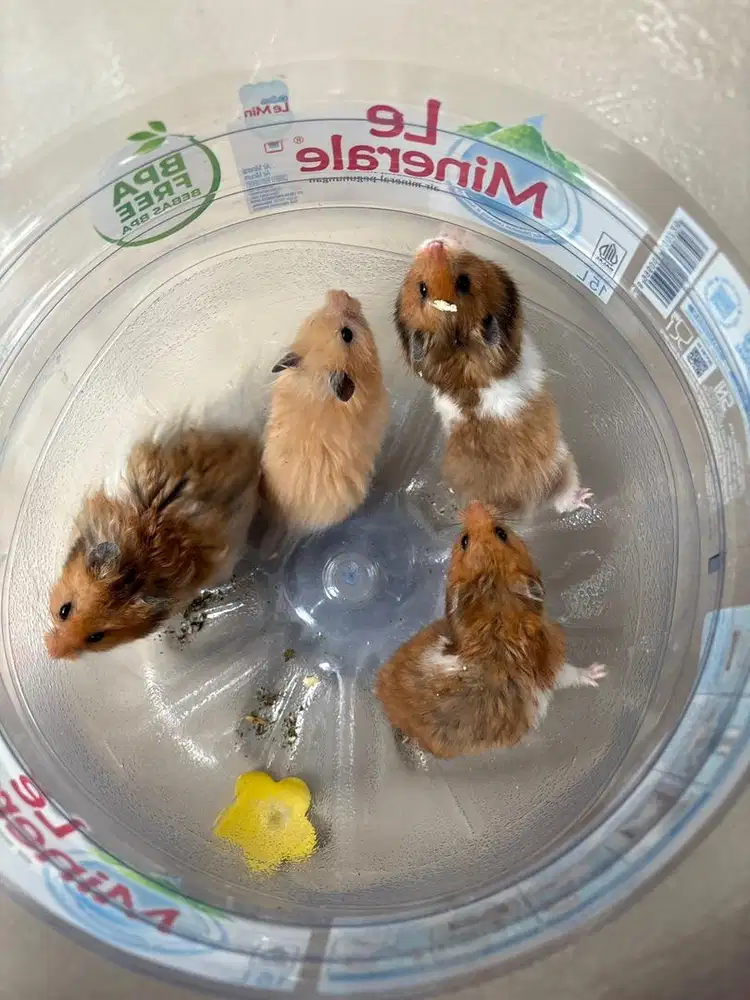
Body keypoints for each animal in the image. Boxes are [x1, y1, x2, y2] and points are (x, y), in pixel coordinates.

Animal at [375, 501, 606, 758]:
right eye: (465, 540)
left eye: (500, 533)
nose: (474, 504)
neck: (493, 602)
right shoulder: (551, 661)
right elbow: (570, 673)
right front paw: (600, 672)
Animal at [394, 237, 592, 518]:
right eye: (423, 288)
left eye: (463, 282)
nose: (436, 243)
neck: (459, 347)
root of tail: (523, 508)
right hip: (564, 463)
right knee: (563, 501)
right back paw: (586, 497)